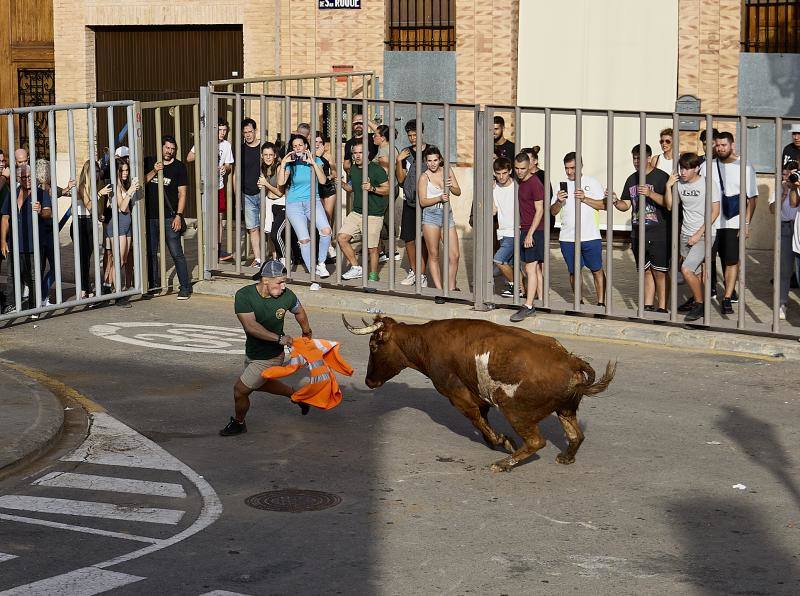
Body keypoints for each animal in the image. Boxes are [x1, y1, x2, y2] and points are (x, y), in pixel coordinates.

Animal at [340, 314, 616, 472]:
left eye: (374, 345)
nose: (369, 380)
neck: (424, 342)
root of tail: (570, 361)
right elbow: (483, 420)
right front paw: (499, 440)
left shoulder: (457, 395)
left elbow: (477, 419)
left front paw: (503, 441)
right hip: (565, 408)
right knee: (576, 435)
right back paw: (565, 457)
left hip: (516, 410)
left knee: (537, 441)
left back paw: (504, 464)